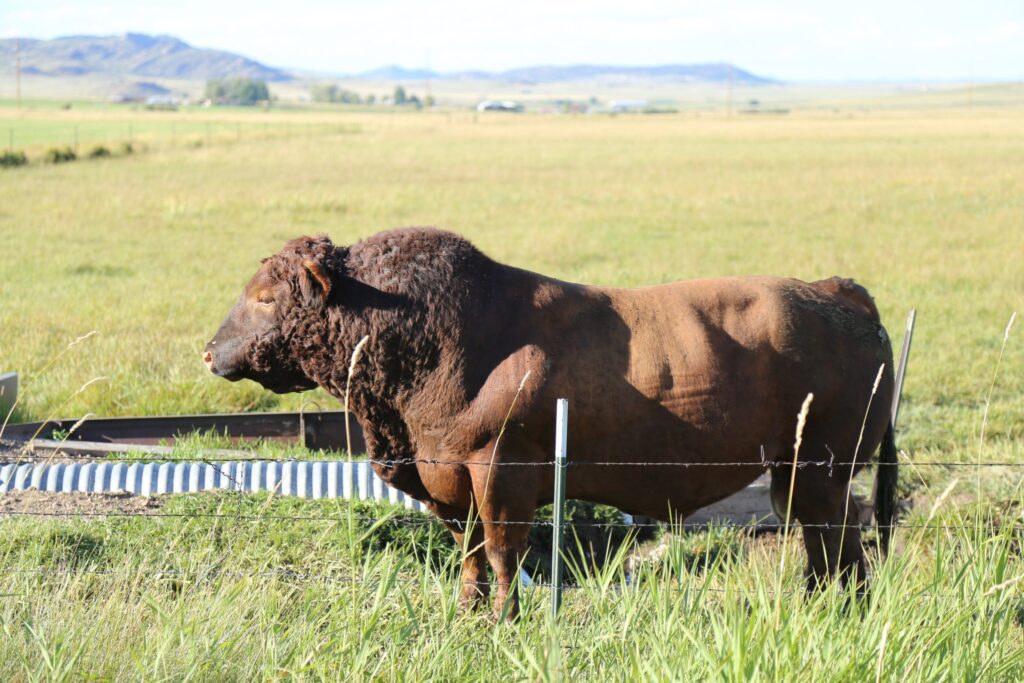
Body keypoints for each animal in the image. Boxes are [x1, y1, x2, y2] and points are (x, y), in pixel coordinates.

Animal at [204, 228, 898, 618]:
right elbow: (469, 553)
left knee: (840, 540)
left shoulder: (500, 471)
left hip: (823, 468)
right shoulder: (446, 481)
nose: (209, 351)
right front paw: (468, 616)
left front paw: (505, 620)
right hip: (795, 471)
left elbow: (503, 553)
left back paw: (842, 611)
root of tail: (832, 291)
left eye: (265, 296)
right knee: (822, 541)